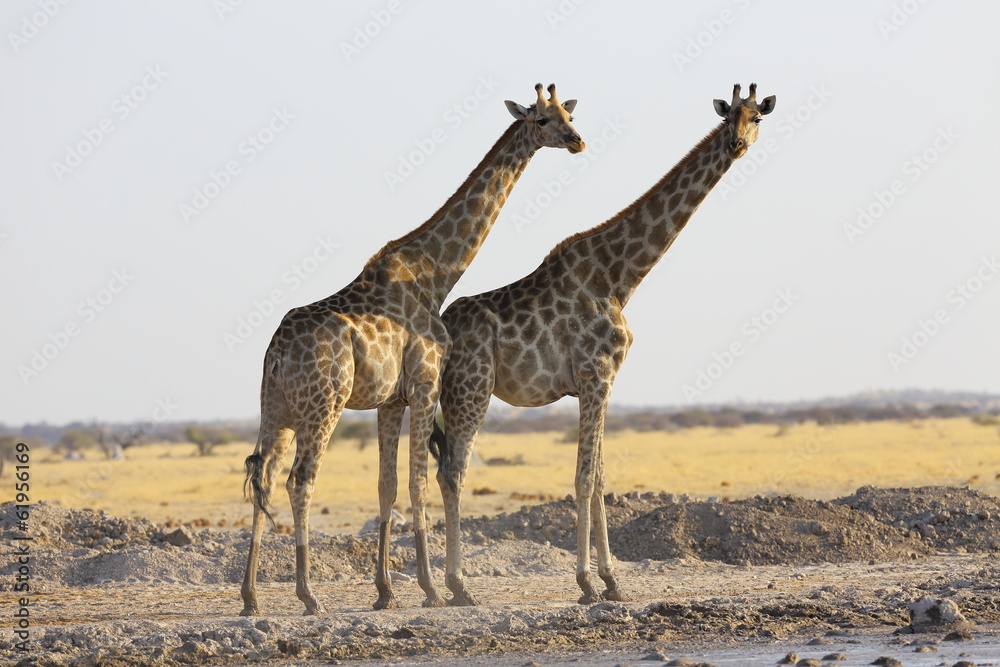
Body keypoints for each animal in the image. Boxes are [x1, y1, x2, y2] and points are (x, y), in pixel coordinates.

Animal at [240, 84, 585, 615]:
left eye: (568, 113)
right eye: (542, 120)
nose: (577, 141)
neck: (435, 278)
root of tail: (275, 355)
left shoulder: (390, 400)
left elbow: (387, 486)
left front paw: (385, 592)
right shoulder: (424, 385)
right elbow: (419, 482)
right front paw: (431, 589)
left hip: (275, 409)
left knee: (264, 476)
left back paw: (251, 598)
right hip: (323, 406)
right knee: (301, 479)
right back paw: (308, 595)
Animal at [433, 83, 776, 605]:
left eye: (756, 117)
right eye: (728, 117)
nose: (735, 144)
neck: (620, 277)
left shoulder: (605, 380)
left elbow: (599, 478)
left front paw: (612, 580)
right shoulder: (596, 374)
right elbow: (584, 477)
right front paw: (587, 582)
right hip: (470, 389)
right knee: (453, 471)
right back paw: (458, 587)